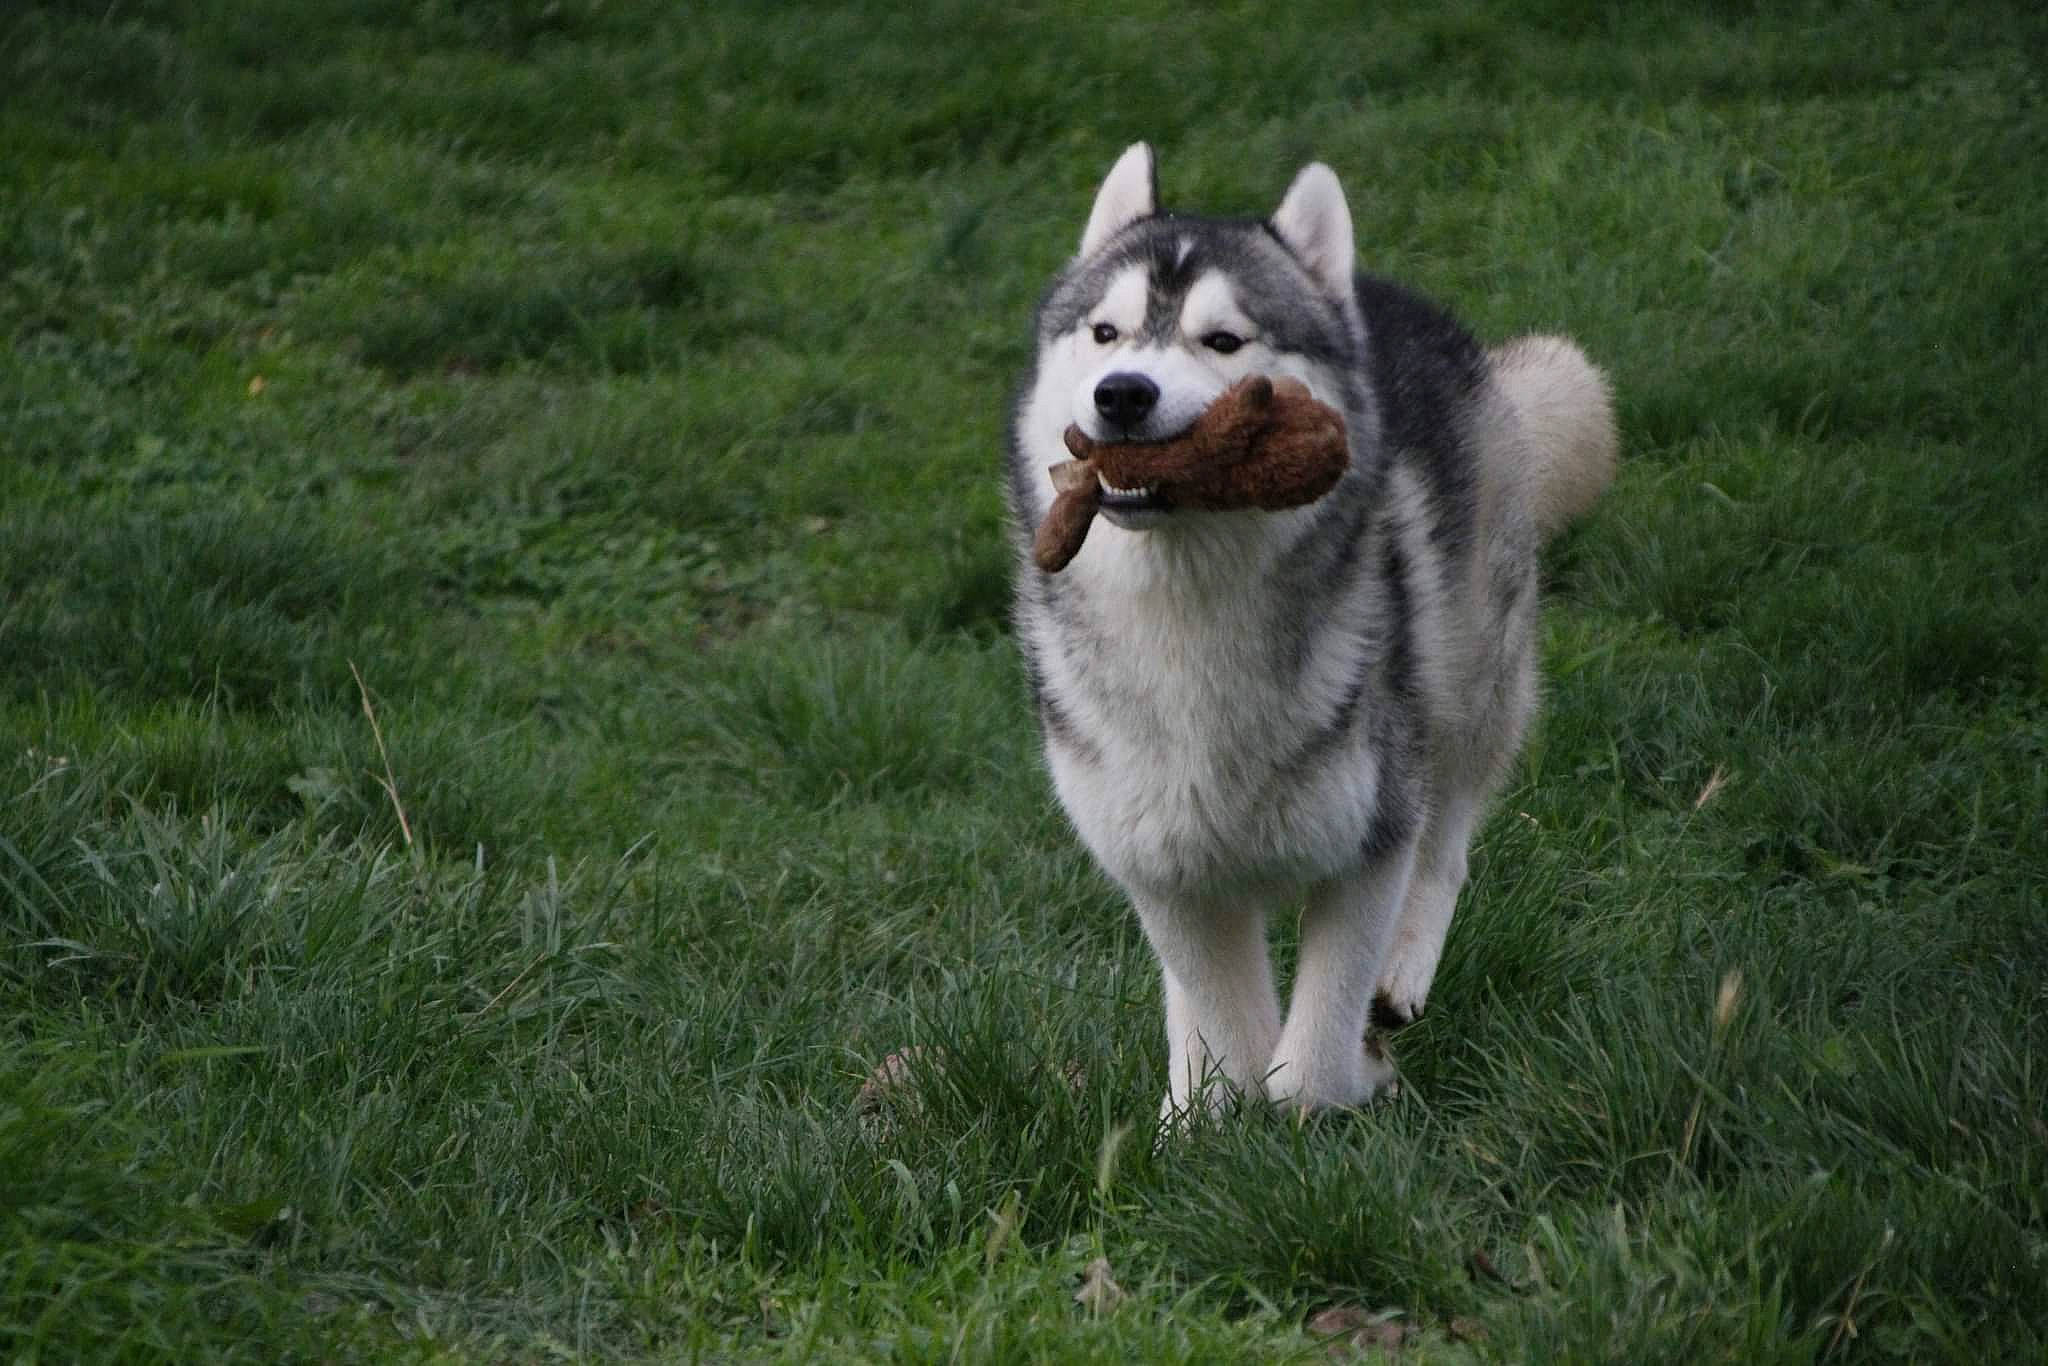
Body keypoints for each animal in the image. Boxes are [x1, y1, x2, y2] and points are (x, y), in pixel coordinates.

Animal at [1005, 143, 1615, 1120]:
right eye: (1104, 333)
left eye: (1224, 341)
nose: (1123, 393)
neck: (1189, 610)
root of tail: (1390, 295)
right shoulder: (1161, 865)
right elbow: (1221, 1015)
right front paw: (1206, 1114)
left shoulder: (1372, 839)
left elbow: (1313, 1045)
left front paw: (1320, 1097)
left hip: (1470, 680)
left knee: (1450, 831)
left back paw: (1404, 972)